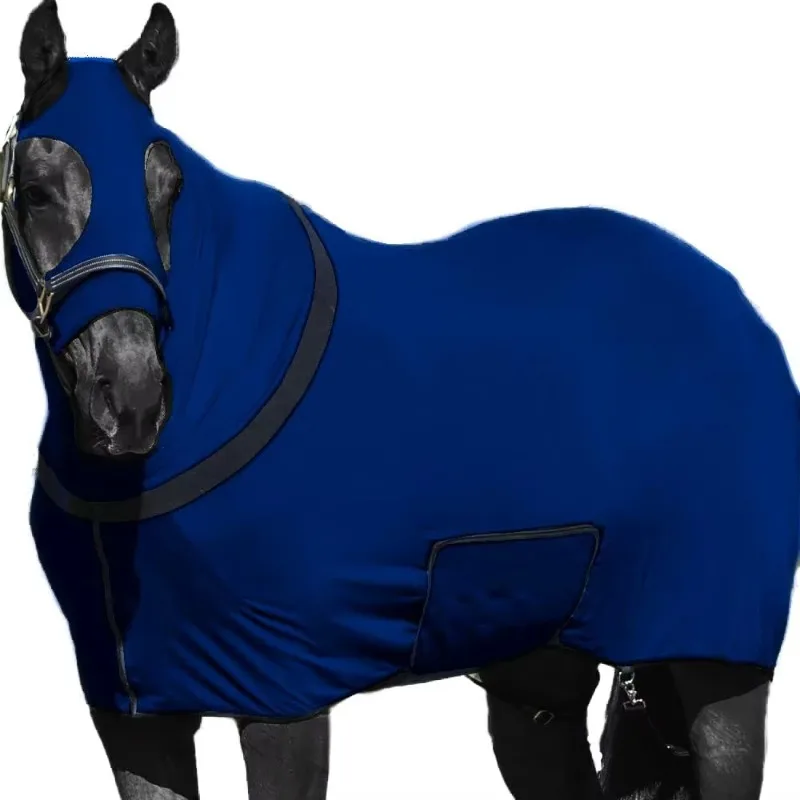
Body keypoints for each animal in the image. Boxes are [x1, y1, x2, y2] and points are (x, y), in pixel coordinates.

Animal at [3, 3, 794, 799]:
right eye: (35, 190)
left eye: (169, 188)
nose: (130, 402)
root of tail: (734, 306)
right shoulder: (136, 713)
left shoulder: (281, 697)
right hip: (539, 673)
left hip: (712, 659)